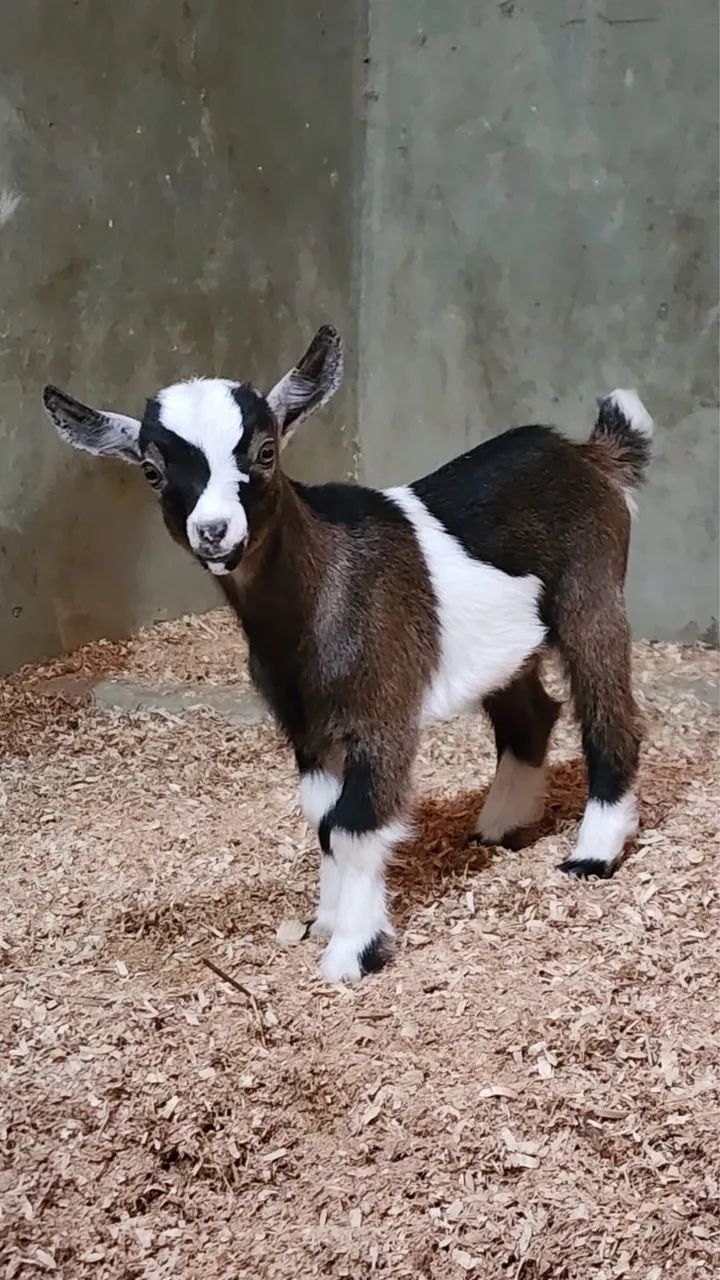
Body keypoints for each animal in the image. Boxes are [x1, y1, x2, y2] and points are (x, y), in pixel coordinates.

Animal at [43, 326, 653, 982]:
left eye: (265, 452)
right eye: (153, 471)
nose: (215, 531)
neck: (318, 592)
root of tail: (589, 454)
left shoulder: (382, 711)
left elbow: (353, 824)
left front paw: (353, 951)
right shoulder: (306, 727)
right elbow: (322, 819)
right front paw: (327, 919)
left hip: (592, 592)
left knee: (610, 711)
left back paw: (593, 853)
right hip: (508, 645)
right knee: (531, 715)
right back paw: (503, 825)